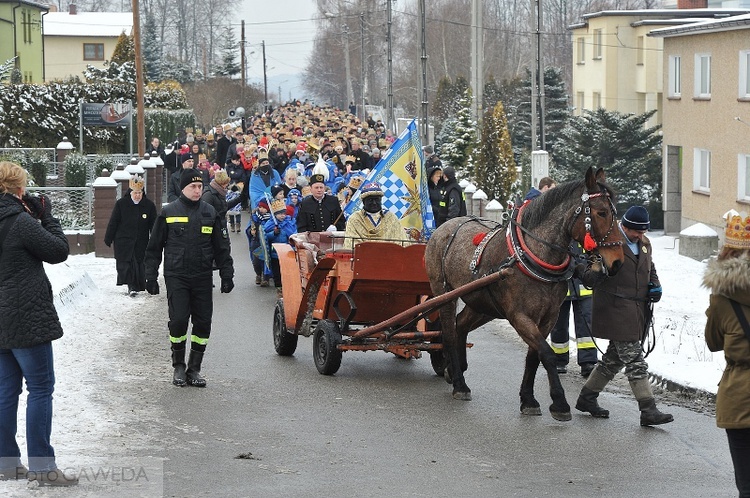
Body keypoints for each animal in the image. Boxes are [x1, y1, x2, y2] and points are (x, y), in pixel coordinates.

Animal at [426, 166, 624, 420]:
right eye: (601, 212)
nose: (617, 262)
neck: (530, 255)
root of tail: (443, 227)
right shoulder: (519, 316)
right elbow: (547, 354)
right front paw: (559, 402)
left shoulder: (547, 318)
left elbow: (534, 356)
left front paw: (528, 399)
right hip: (445, 294)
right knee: (449, 332)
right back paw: (460, 384)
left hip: (482, 304)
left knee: (460, 326)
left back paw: (455, 370)